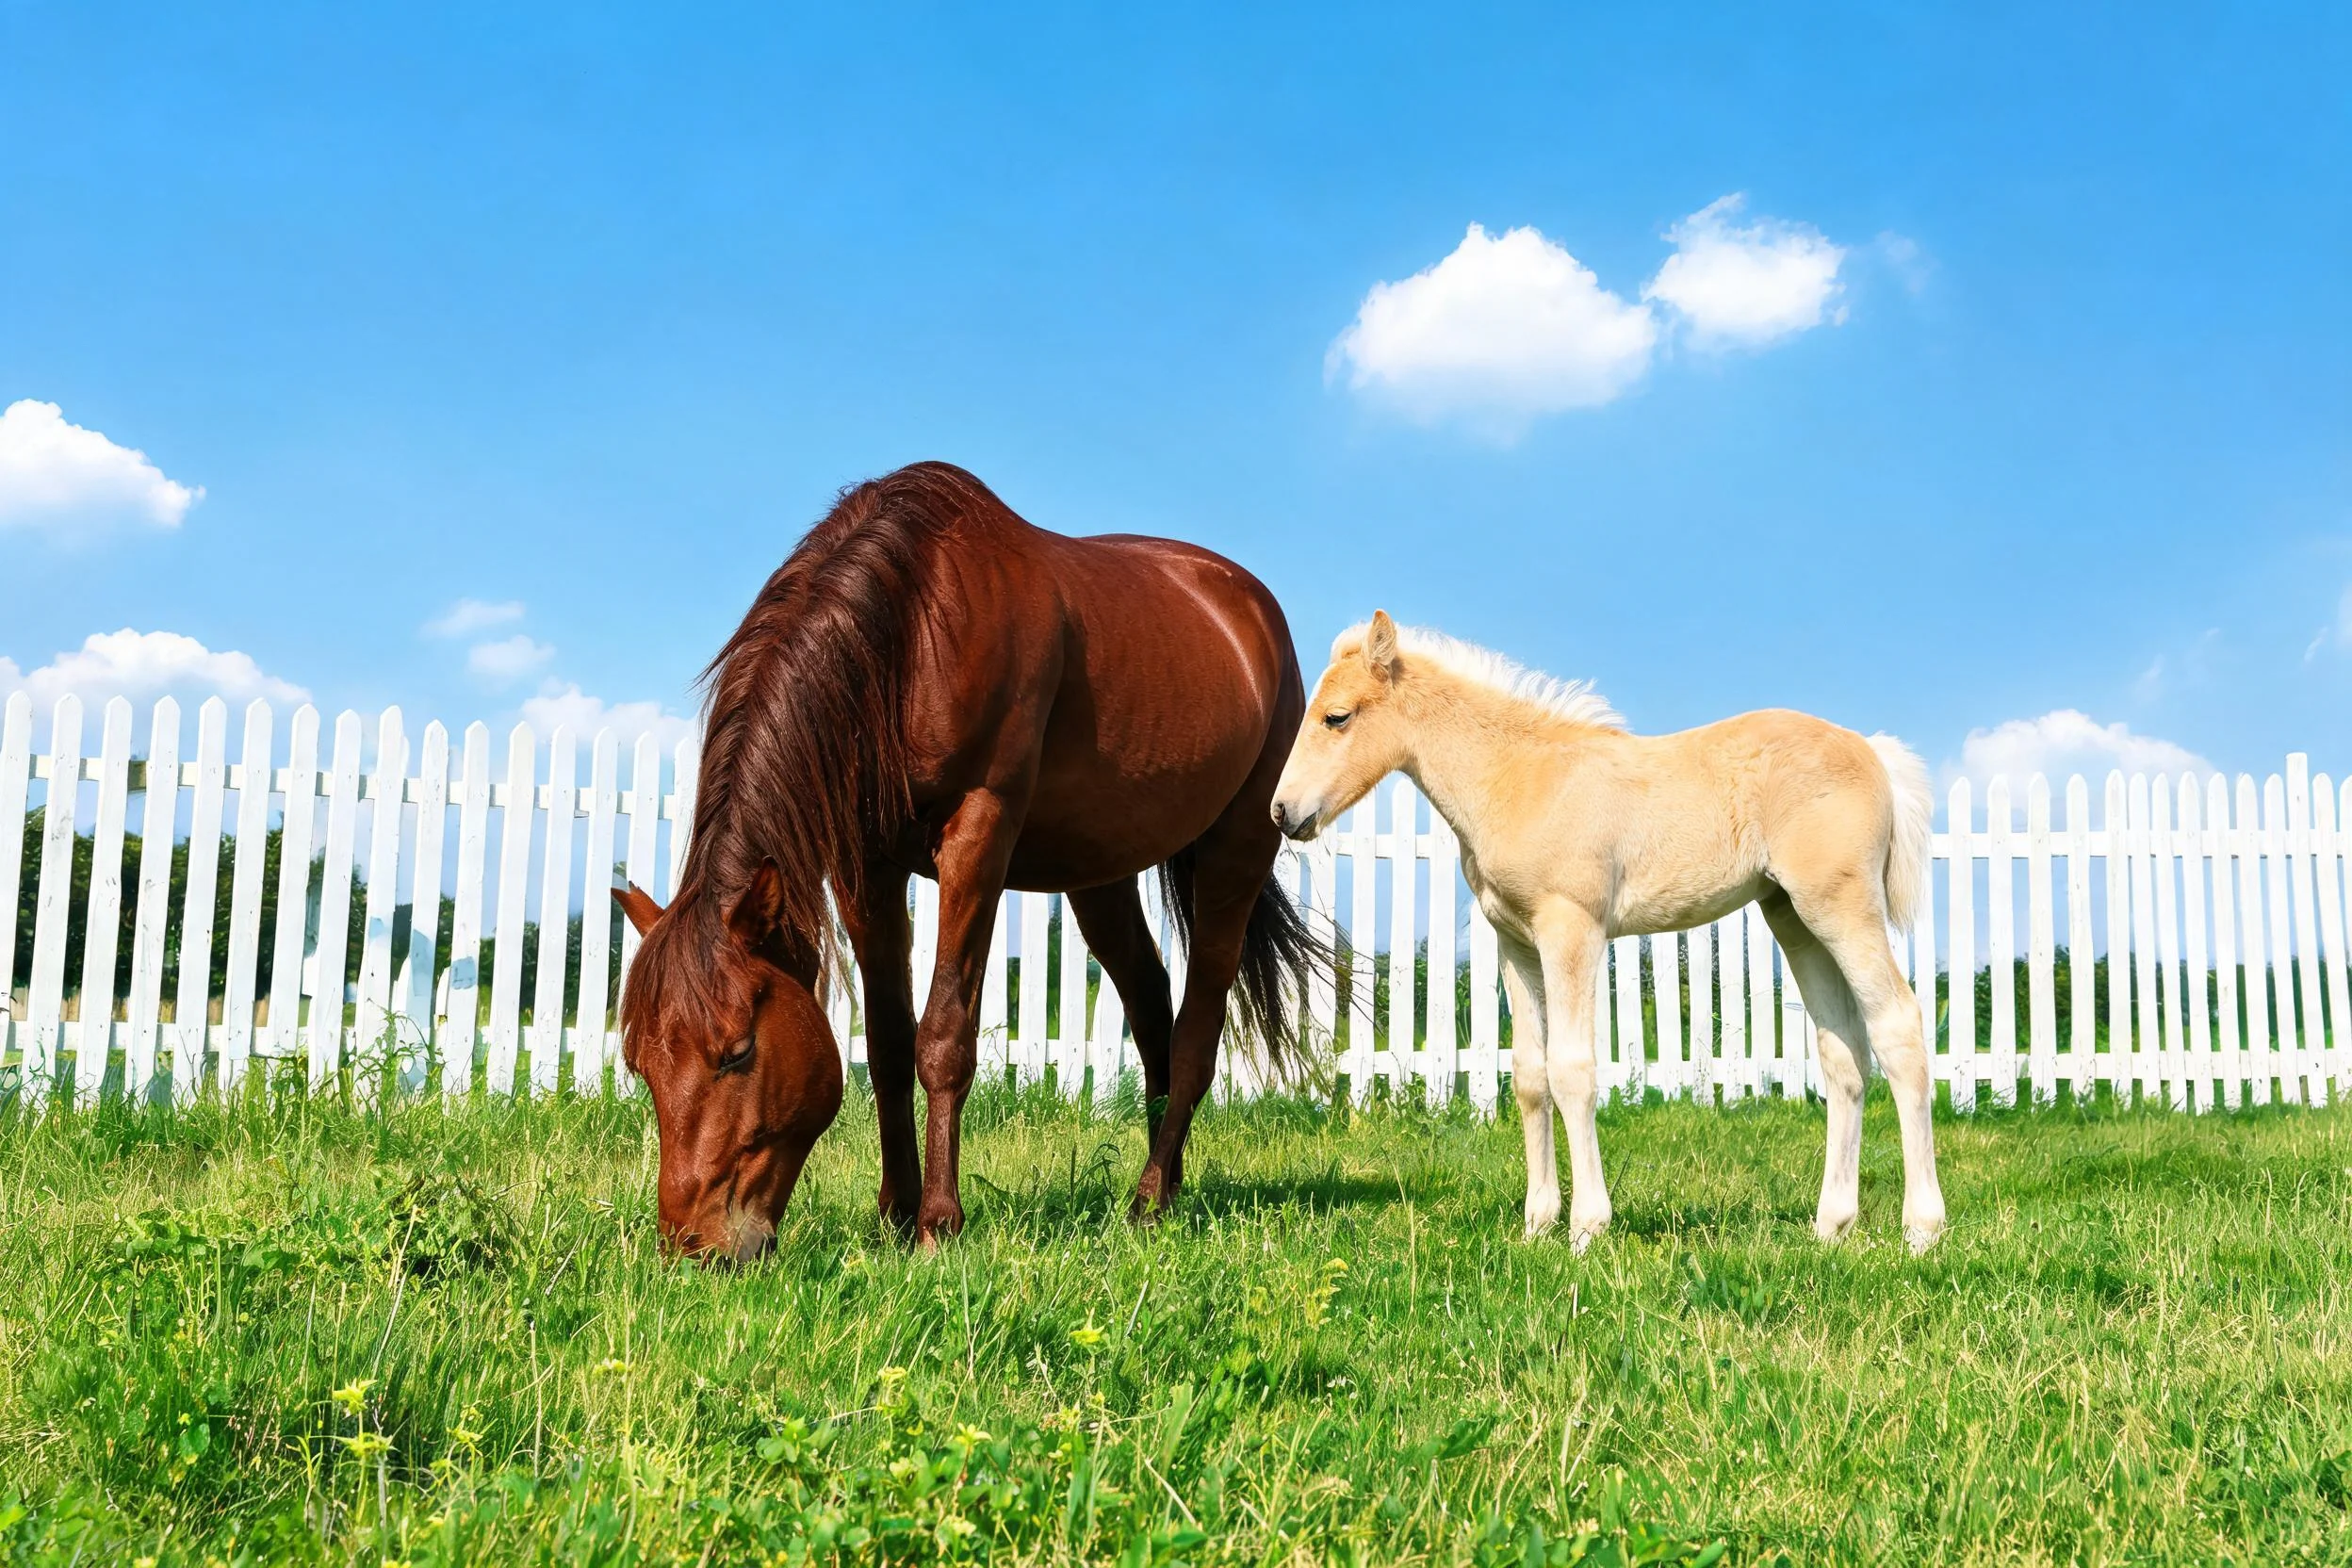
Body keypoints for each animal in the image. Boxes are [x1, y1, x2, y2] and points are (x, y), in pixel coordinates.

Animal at [613, 461, 1317, 1258]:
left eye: (736, 1052)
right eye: (639, 1062)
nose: (692, 1247)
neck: (912, 629)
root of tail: (1250, 609)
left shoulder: (980, 835)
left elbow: (944, 1035)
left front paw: (938, 1224)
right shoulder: (866, 865)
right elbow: (889, 1043)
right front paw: (893, 1212)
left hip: (1237, 851)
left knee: (1199, 1024)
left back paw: (1146, 1201)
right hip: (1100, 873)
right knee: (1150, 1002)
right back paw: (1165, 1184)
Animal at [1269, 611, 1947, 1253]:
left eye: (1336, 717)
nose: (1282, 812)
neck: (1520, 777)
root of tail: (1873, 752)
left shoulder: (1571, 928)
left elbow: (1572, 1069)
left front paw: (1586, 1229)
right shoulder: (1515, 942)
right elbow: (1531, 1076)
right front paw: (1537, 1225)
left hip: (1842, 907)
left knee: (1898, 1026)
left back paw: (1921, 1229)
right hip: (1794, 918)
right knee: (1842, 1052)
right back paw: (1832, 1226)